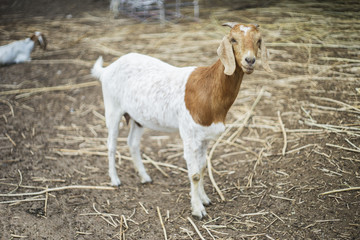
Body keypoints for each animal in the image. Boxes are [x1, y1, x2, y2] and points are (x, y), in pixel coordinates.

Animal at [91, 22, 272, 218]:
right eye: (233, 40)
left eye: (258, 40)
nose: (250, 60)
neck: (208, 88)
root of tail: (107, 70)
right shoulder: (189, 135)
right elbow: (194, 174)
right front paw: (198, 209)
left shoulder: (205, 137)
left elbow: (202, 169)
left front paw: (205, 199)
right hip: (112, 108)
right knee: (111, 144)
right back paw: (115, 180)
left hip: (138, 118)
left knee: (132, 142)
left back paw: (145, 177)